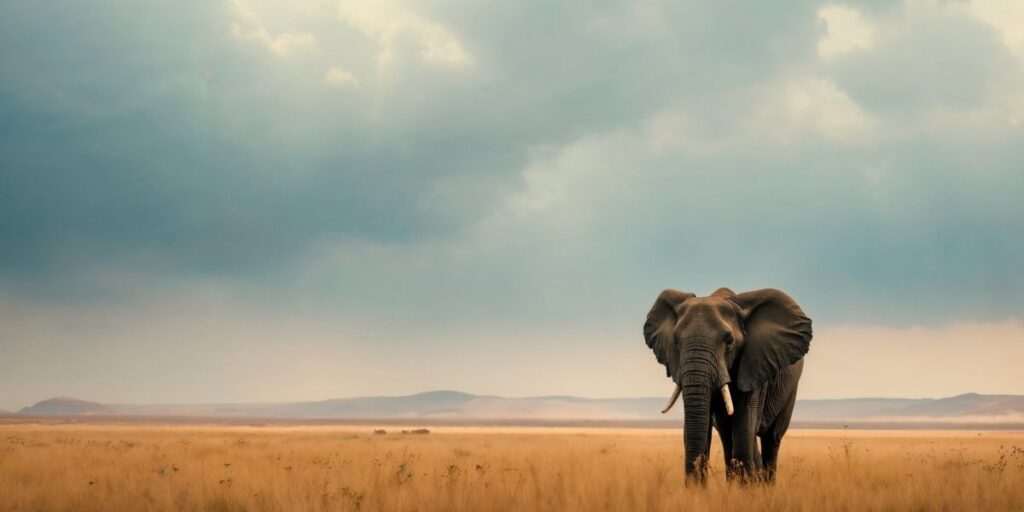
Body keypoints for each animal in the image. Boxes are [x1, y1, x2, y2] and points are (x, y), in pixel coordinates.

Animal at [643, 287, 812, 484]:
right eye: (676, 341)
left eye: (729, 341)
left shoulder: (754, 365)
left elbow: (744, 426)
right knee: (728, 437)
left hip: (790, 390)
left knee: (771, 439)